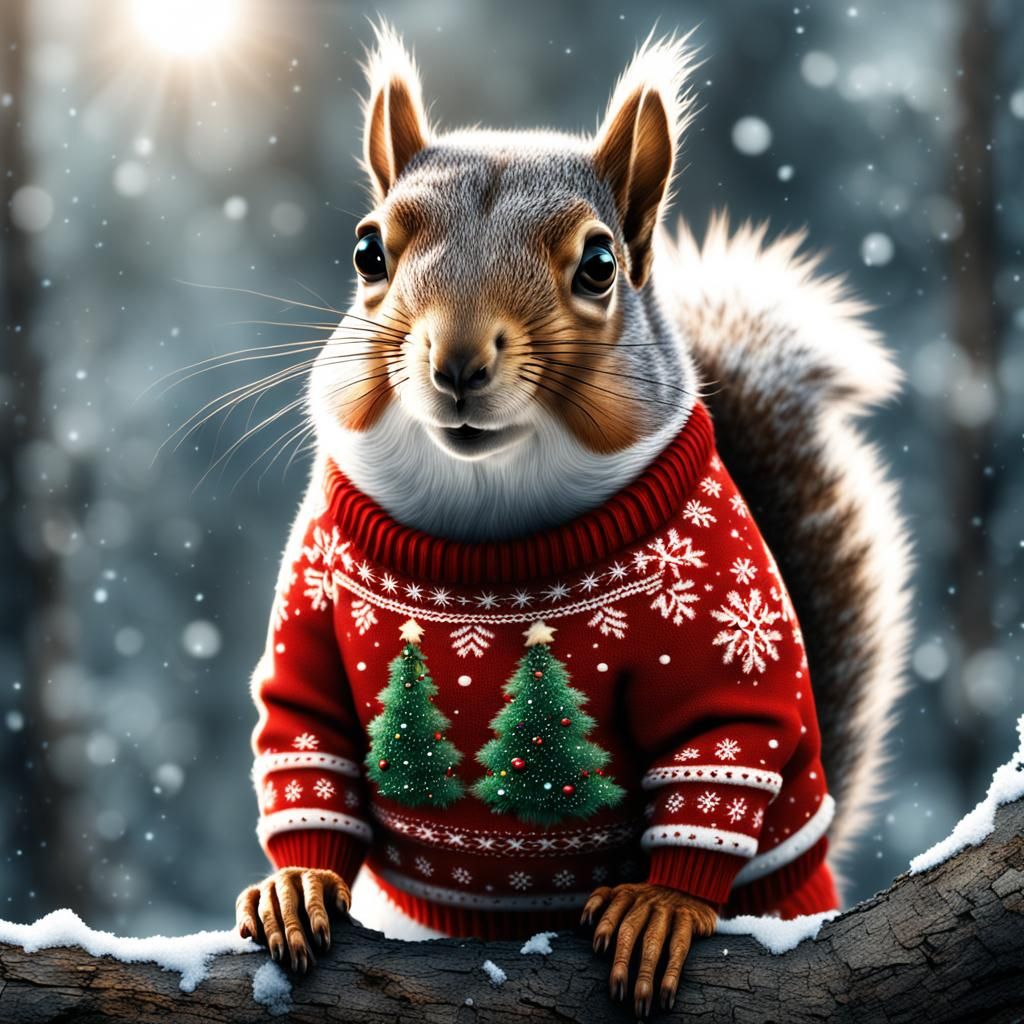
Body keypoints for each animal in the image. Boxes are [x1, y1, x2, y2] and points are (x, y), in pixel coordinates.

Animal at [234, 25, 911, 1017]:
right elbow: (304, 729)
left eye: (600, 264)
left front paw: (663, 906)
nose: (457, 360)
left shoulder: (720, 617)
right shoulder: (314, 601)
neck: (489, 516)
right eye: (367, 252)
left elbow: (722, 741)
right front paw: (299, 879)